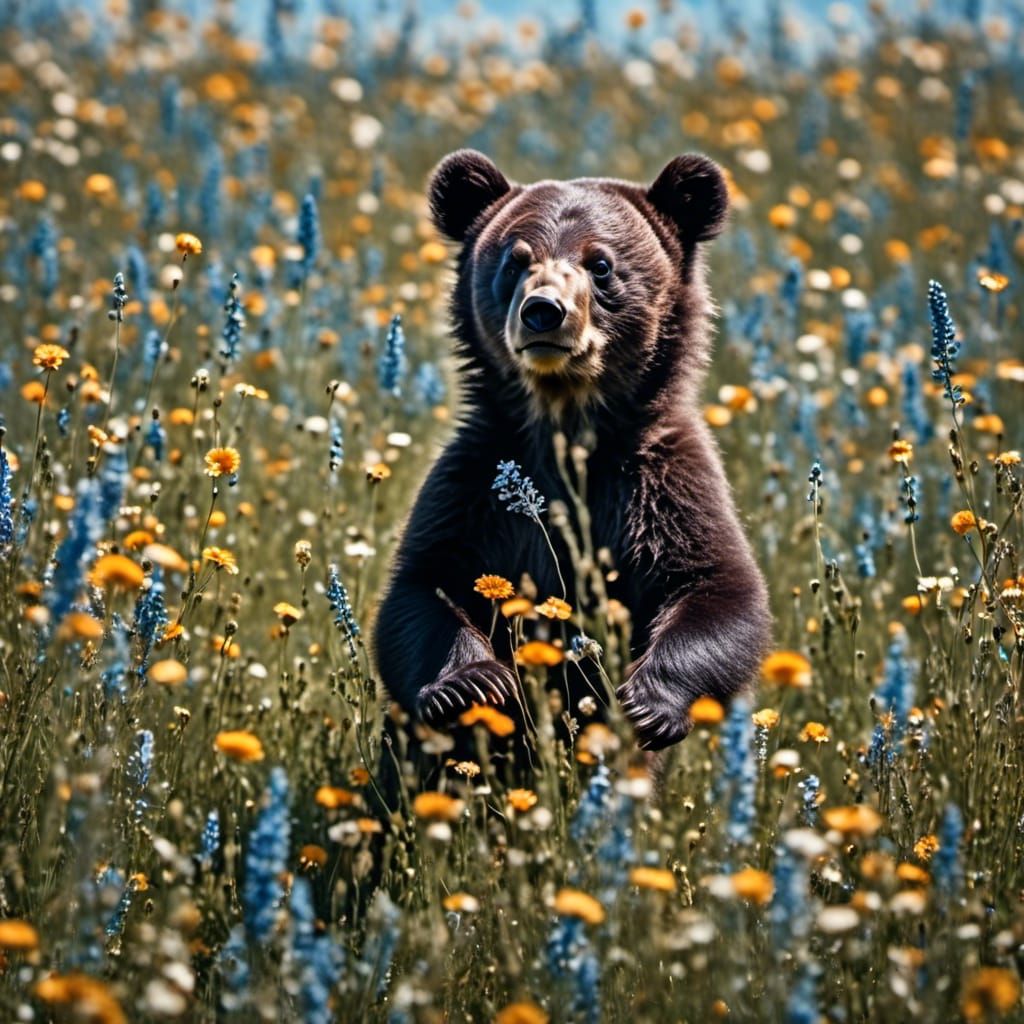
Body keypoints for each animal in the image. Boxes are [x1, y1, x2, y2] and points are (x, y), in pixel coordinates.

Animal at [373, 149, 771, 777]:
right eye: (515, 260)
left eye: (600, 263)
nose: (543, 312)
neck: (566, 423)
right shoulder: (476, 484)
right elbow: (421, 588)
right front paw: (472, 684)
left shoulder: (659, 484)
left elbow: (718, 586)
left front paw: (646, 702)